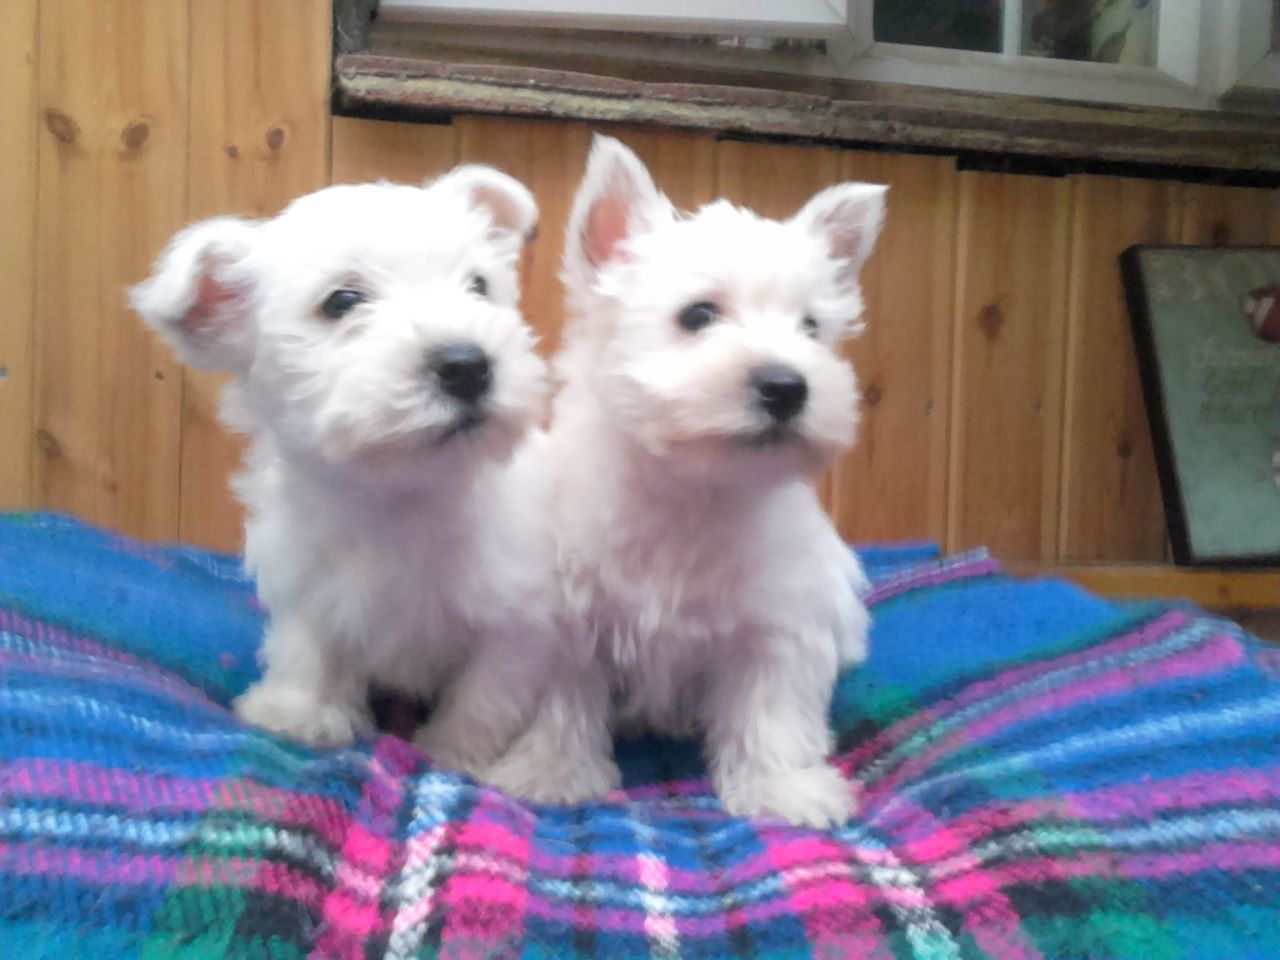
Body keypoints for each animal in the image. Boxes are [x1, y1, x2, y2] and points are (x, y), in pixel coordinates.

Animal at [131, 167, 565, 783]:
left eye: (479, 285)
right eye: (342, 301)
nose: (467, 364)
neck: (402, 496)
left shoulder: (519, 620)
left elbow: (485, 694)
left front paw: (455, 753)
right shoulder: (305, 580)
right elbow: (306, 646)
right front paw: (297, 713)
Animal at [483, 133, 885, 829]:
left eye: (811, 329)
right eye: (698, 315)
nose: (787, 385)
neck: (691, 490)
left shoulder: (777, 627)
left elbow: (769, 713)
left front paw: (783, 791)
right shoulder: (567, 619)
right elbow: (564, 700)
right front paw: (551, 774)